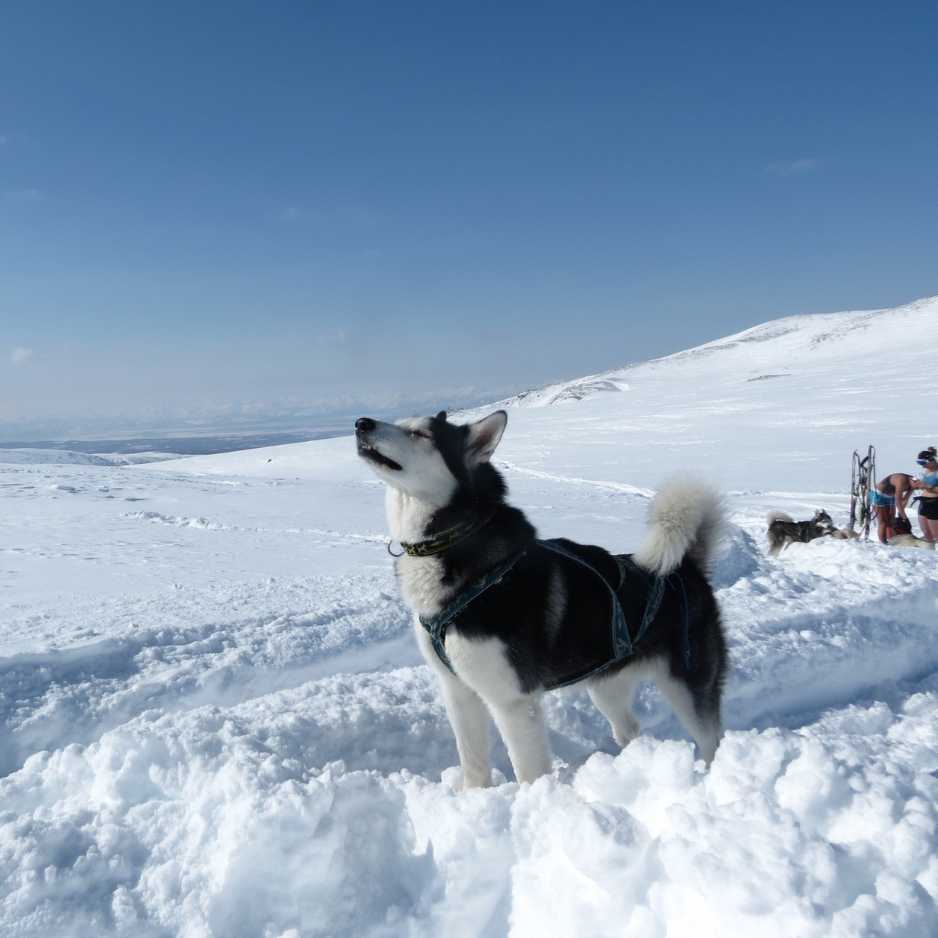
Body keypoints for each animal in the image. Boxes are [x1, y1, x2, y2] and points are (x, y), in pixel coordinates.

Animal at [354, 408, 728, 784]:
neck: (456, 541)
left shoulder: (512, 701)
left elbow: (529, 771)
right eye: (402, 423)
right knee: (630, 728)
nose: (361, 424)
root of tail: (686, 567)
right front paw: (475, 795)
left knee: (712, 740)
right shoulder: (458, 690)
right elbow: (473, 763)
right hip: (606, 685)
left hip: (687, 686)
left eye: (421, 434)